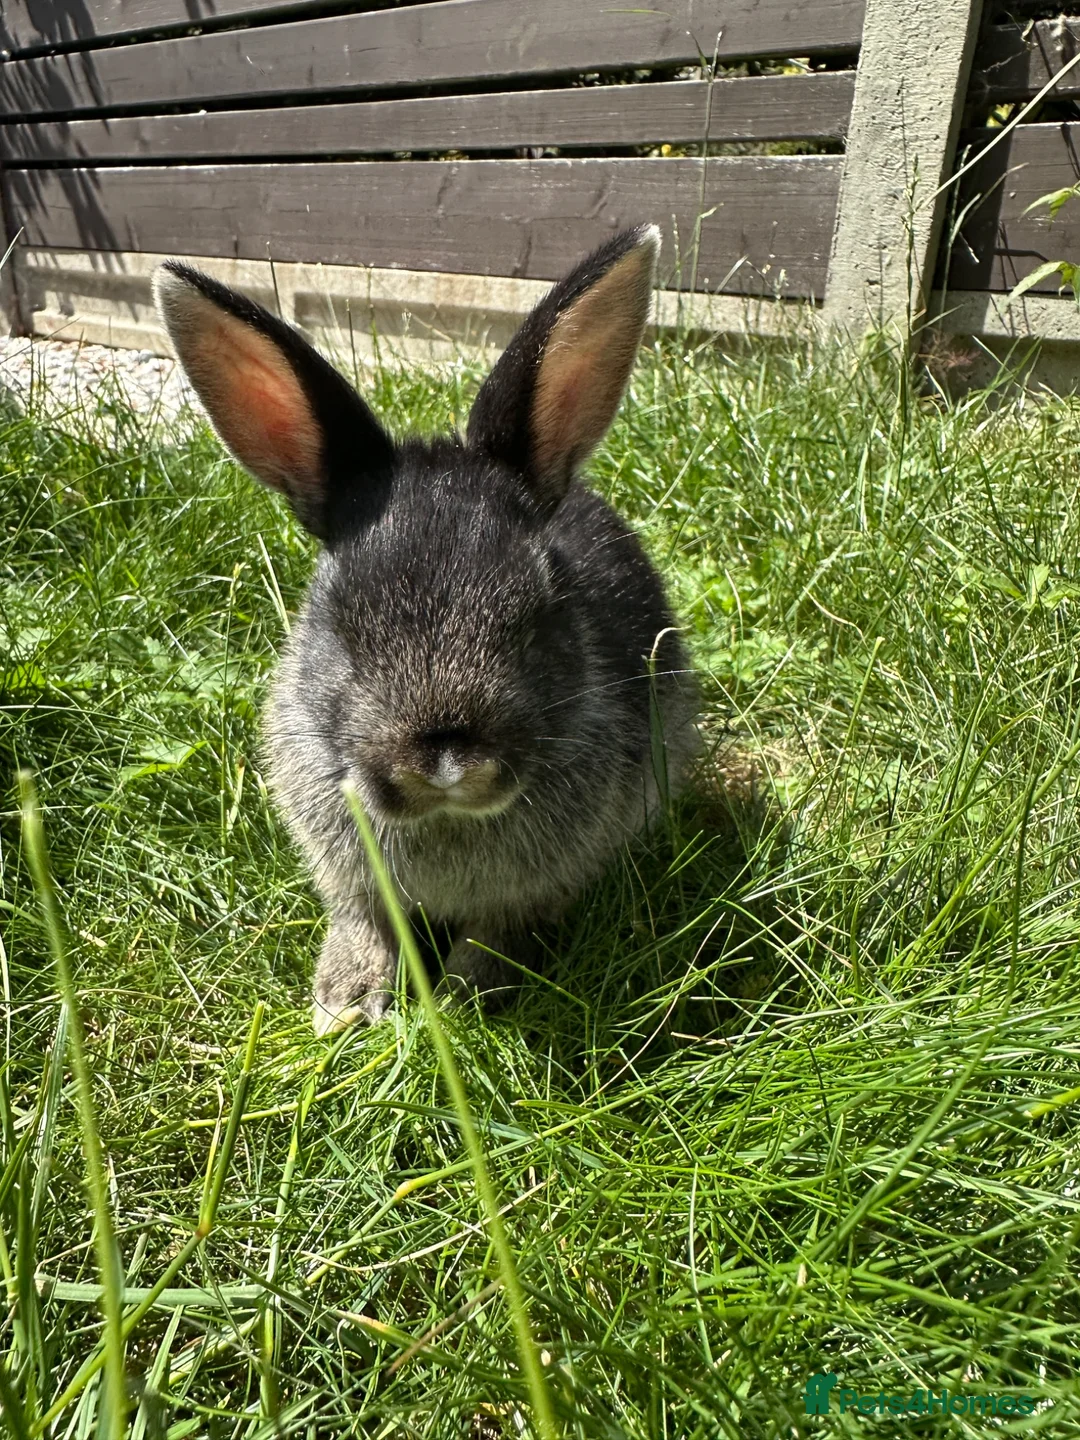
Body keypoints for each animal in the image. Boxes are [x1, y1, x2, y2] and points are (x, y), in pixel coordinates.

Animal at [154, 224, 699, 1034]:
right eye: (338, 621)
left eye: (541, 608)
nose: (444, 758)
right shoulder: (350, 873)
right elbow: (363, 919)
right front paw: (346, 1003)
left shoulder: (532, 890)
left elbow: (497, 934)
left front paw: (462, 1001)